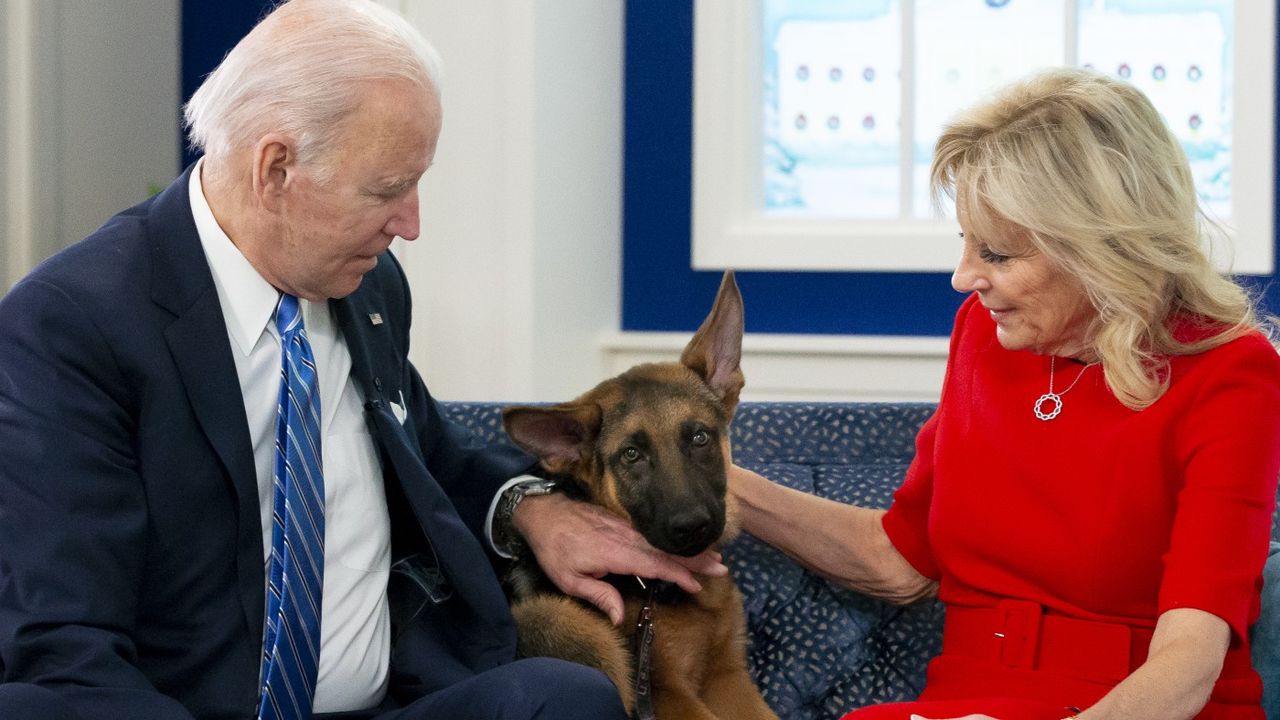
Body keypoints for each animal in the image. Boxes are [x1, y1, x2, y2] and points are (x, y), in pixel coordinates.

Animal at [504, 270, 773, 717]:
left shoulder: (727, 677)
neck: (654, 589)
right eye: (631, 455)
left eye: (699, 437)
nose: (692, 526)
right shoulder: (670, 693)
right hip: (560, 620)